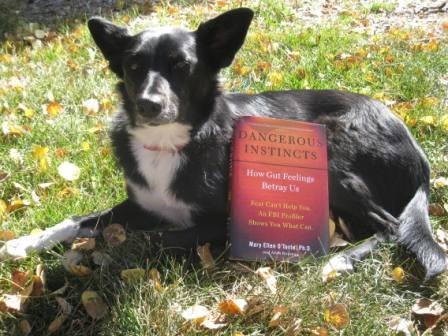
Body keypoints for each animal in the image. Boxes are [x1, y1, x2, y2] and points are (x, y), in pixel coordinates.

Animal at [1, 8, 446, 280]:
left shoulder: (219, 222)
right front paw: (25, 242)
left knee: (390, 227)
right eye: (133, 65)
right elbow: (77, 221)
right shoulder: (138, 204)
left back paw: (340, 260)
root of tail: (421, 158)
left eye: (182, 65)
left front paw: (86, 255)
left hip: (331, 146)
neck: (172, 143)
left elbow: (145, 238)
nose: (147, 104)